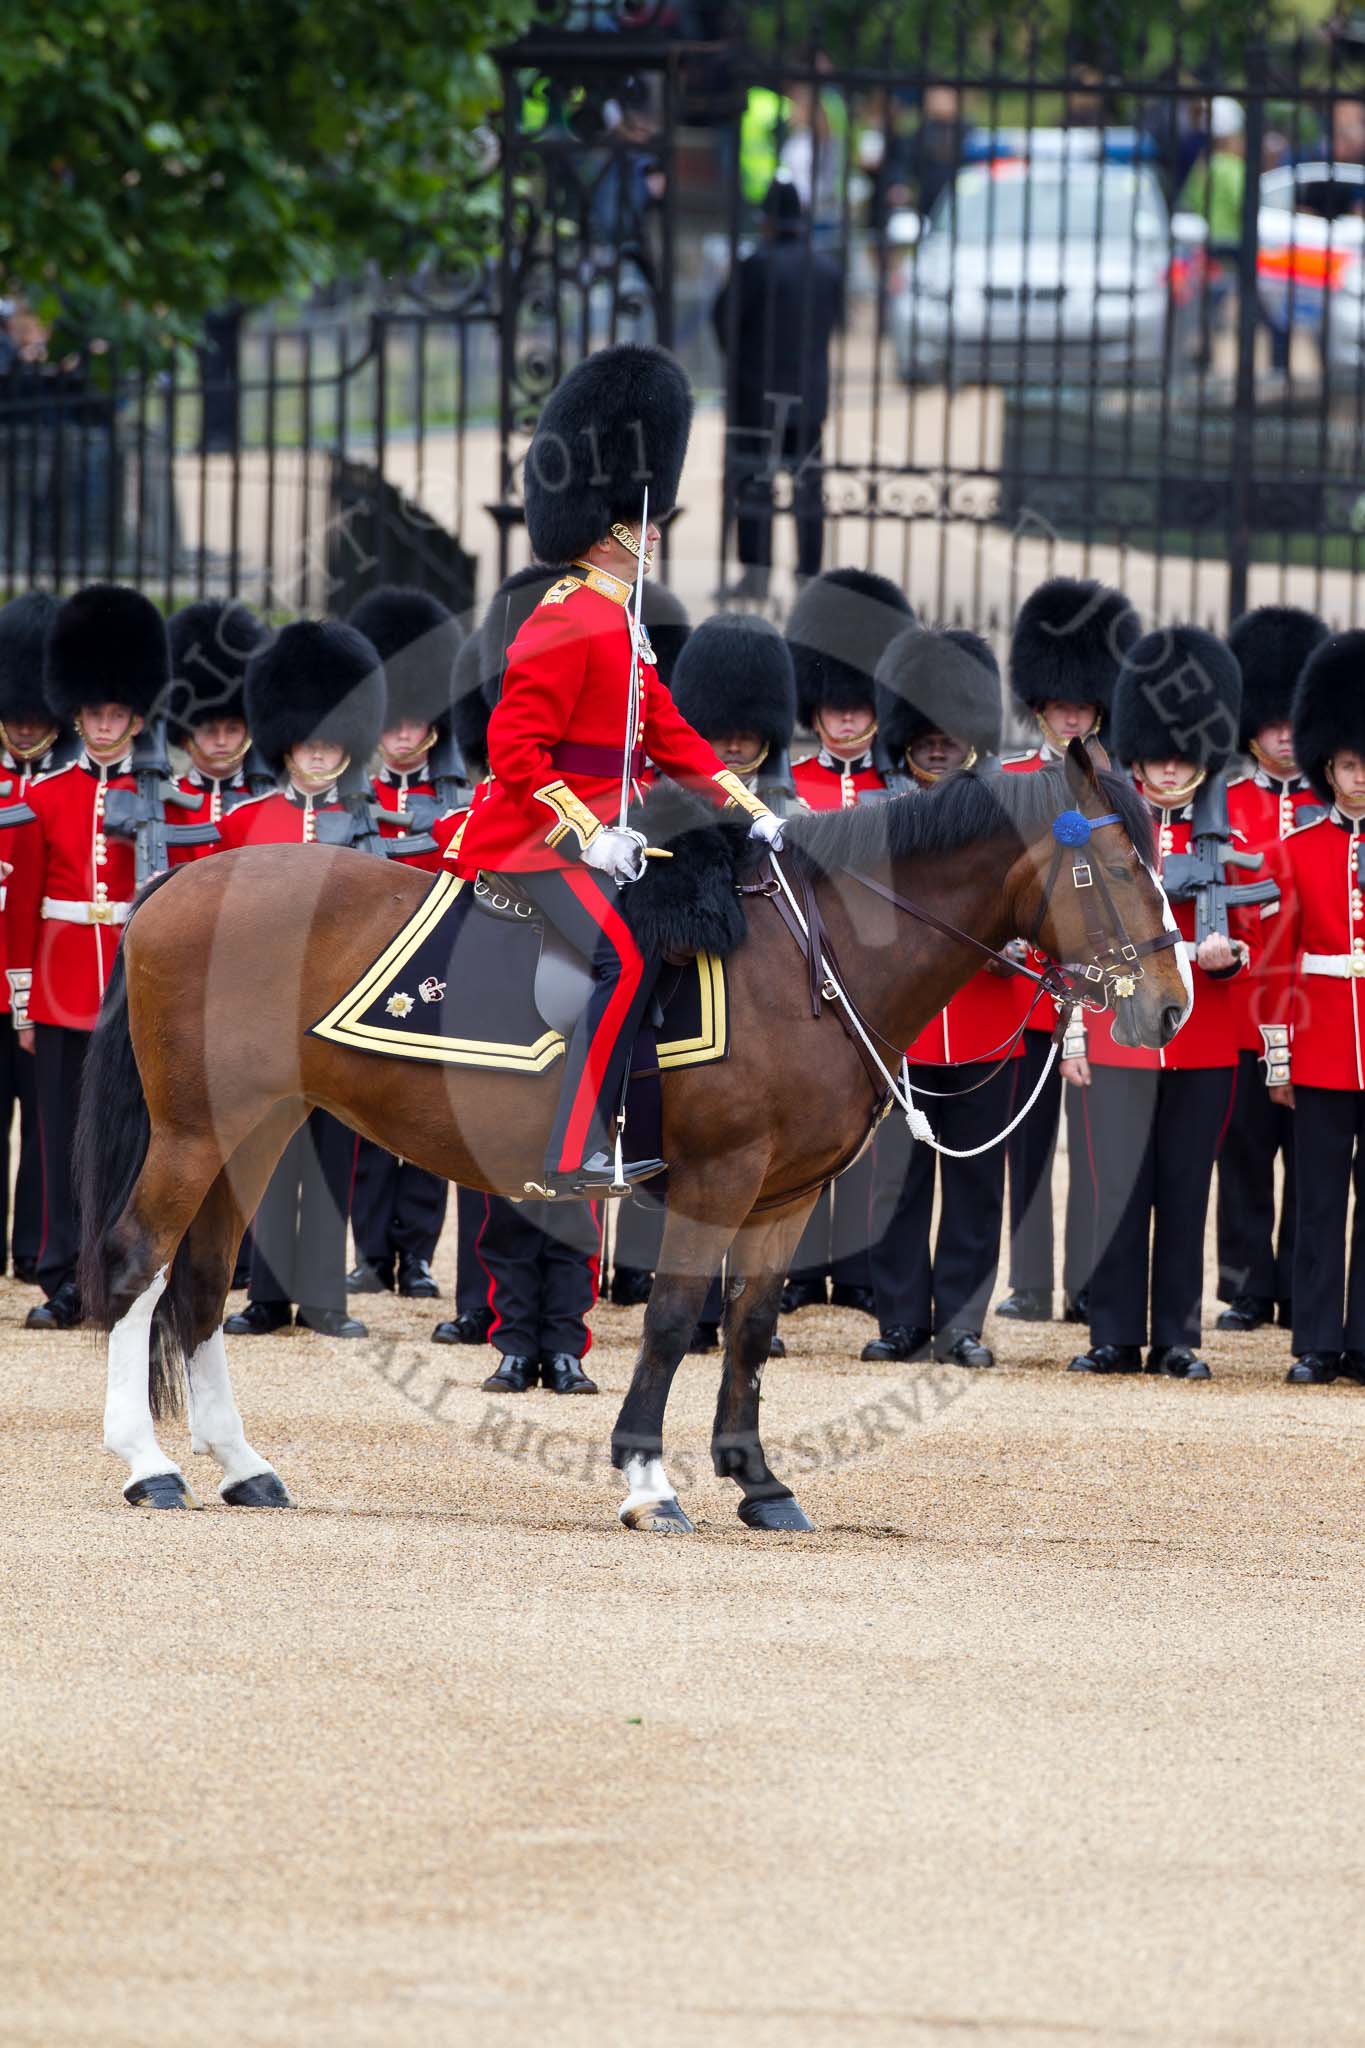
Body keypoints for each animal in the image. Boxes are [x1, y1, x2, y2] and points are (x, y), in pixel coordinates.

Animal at [77, 745, 1186, 1531]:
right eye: (1114, 868)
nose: (1170, 1008)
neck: (814, 962)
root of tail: (185, 883)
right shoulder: (717, 1178)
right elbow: (673, 1317)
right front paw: (649, 1479)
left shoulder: (786, 1195)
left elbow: (748, 1325)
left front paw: (761, 1482)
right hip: (195, 1129)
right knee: (138, 1263)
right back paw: (150, 1466)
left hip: (254, 1128)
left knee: (201, 1282)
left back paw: (243, 1467)